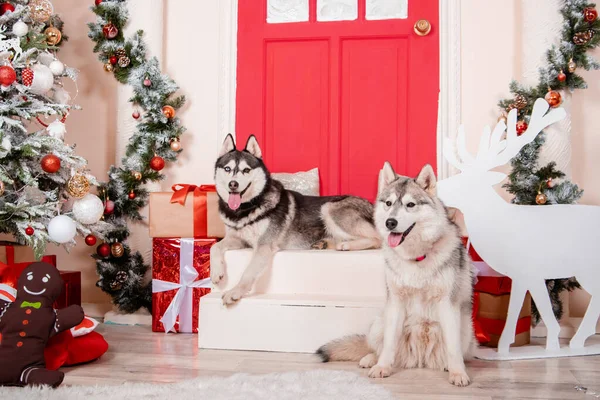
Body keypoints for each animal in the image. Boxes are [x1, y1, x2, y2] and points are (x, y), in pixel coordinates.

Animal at [211, 135, 380, 306]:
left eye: (246, 170)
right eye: (227, 169)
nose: (233, 184)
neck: (246, 209)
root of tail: (371, 205)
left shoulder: (264, 245)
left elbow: (248, 271)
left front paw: (235, 291)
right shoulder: (239, 239)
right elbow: (215, 246)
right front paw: (216, 272)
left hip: (328, 207)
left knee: (377, 239)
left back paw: (346, 245)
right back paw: (325, 243)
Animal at [316, 161, 476, 386]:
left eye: (410, 205)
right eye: (389, 203)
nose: (390, 223)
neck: (416, 257)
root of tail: (419, 359)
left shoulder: (447, 304)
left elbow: (453, 348)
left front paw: (458, 373)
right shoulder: (396, 303)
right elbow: (389, 344)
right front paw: (382, 367)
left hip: (466, 329)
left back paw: (446, 365)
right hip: (379, 322)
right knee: (378, 347)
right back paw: (371, 360)